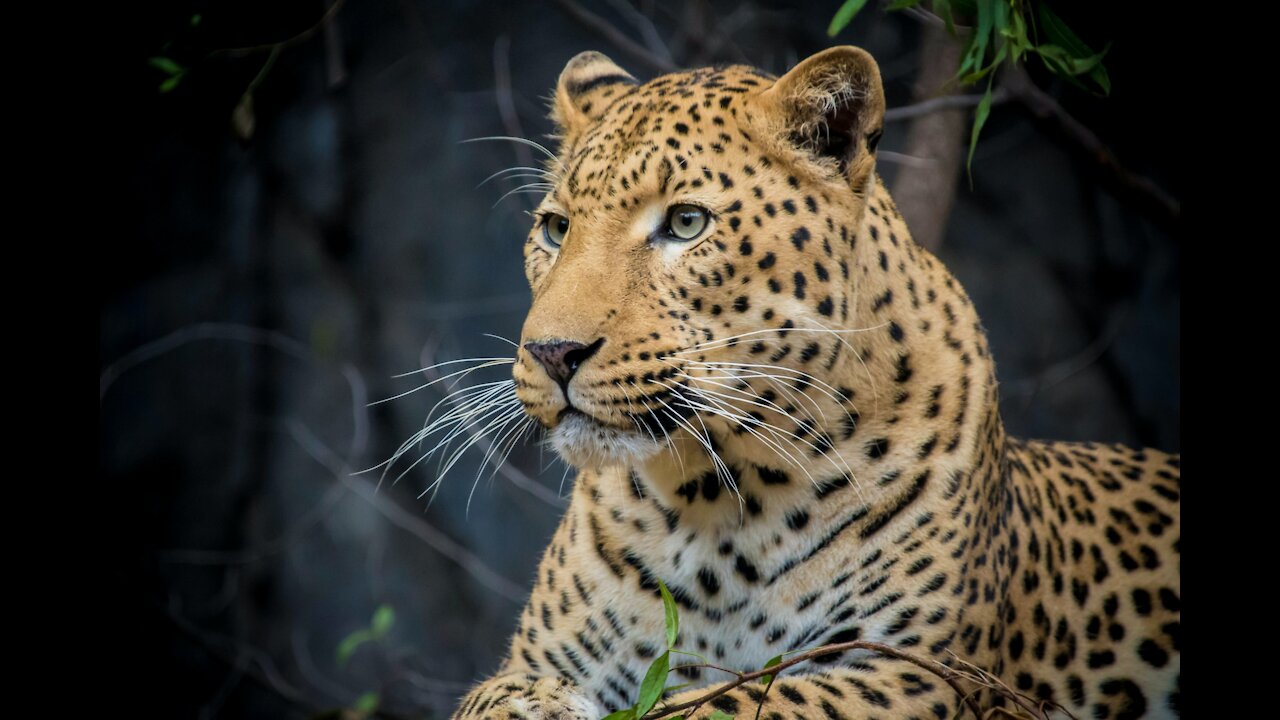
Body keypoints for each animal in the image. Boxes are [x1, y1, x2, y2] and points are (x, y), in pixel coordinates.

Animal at [448, 47, 1177, 712]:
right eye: (555, 228)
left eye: (686, 222)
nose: (552, 353)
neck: (716, 507)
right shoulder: (533, 662)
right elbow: (498, 697)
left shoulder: (915, 673)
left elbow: (737, 702)